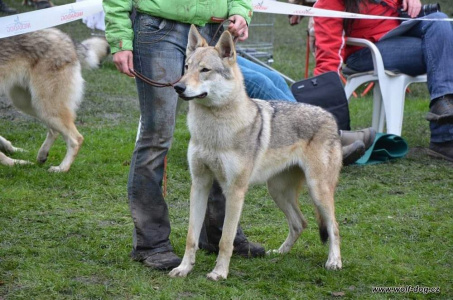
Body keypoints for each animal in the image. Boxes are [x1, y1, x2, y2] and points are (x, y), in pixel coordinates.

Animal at [170, 25, 342, 282]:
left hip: (317, 190)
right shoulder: (199, 184)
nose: (178, 87)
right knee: (300, 223)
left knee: (334, 227)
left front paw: (219, 273)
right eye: (186, 67)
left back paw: (334, 262)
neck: (213, 132)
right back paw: (278, 254)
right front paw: (184, 268)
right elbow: (192, 237)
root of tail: (330, 116)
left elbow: (226, 240)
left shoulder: (235, 191)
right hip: (278, 191)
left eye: (205, 70)